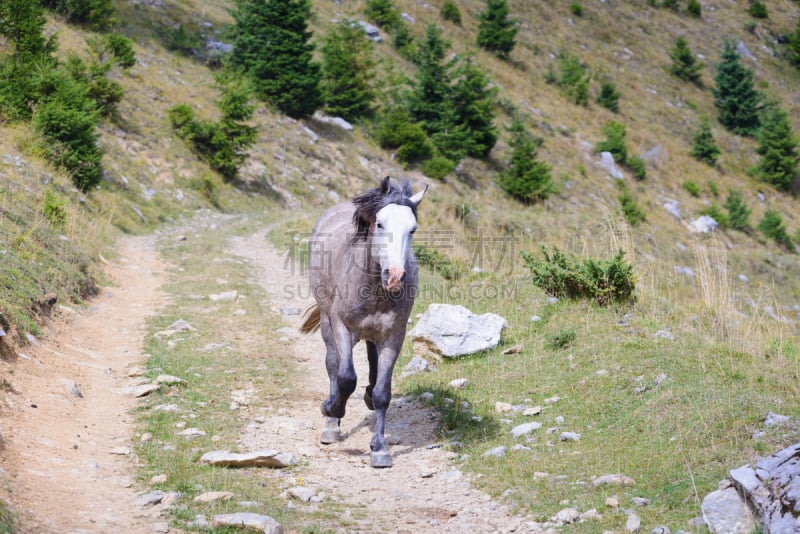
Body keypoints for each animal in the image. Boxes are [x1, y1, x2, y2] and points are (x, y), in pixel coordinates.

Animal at [298, 177, 424, 468]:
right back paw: (331, 424)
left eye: (412, 229)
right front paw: (331, 409)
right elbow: (345, 378)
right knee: (333, 365)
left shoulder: (394, 337)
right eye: (380, 224)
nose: (395, 276)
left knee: (371, 358)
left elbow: (382, 392)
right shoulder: (342, 327)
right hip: (327, 323)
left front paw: (379, 449)